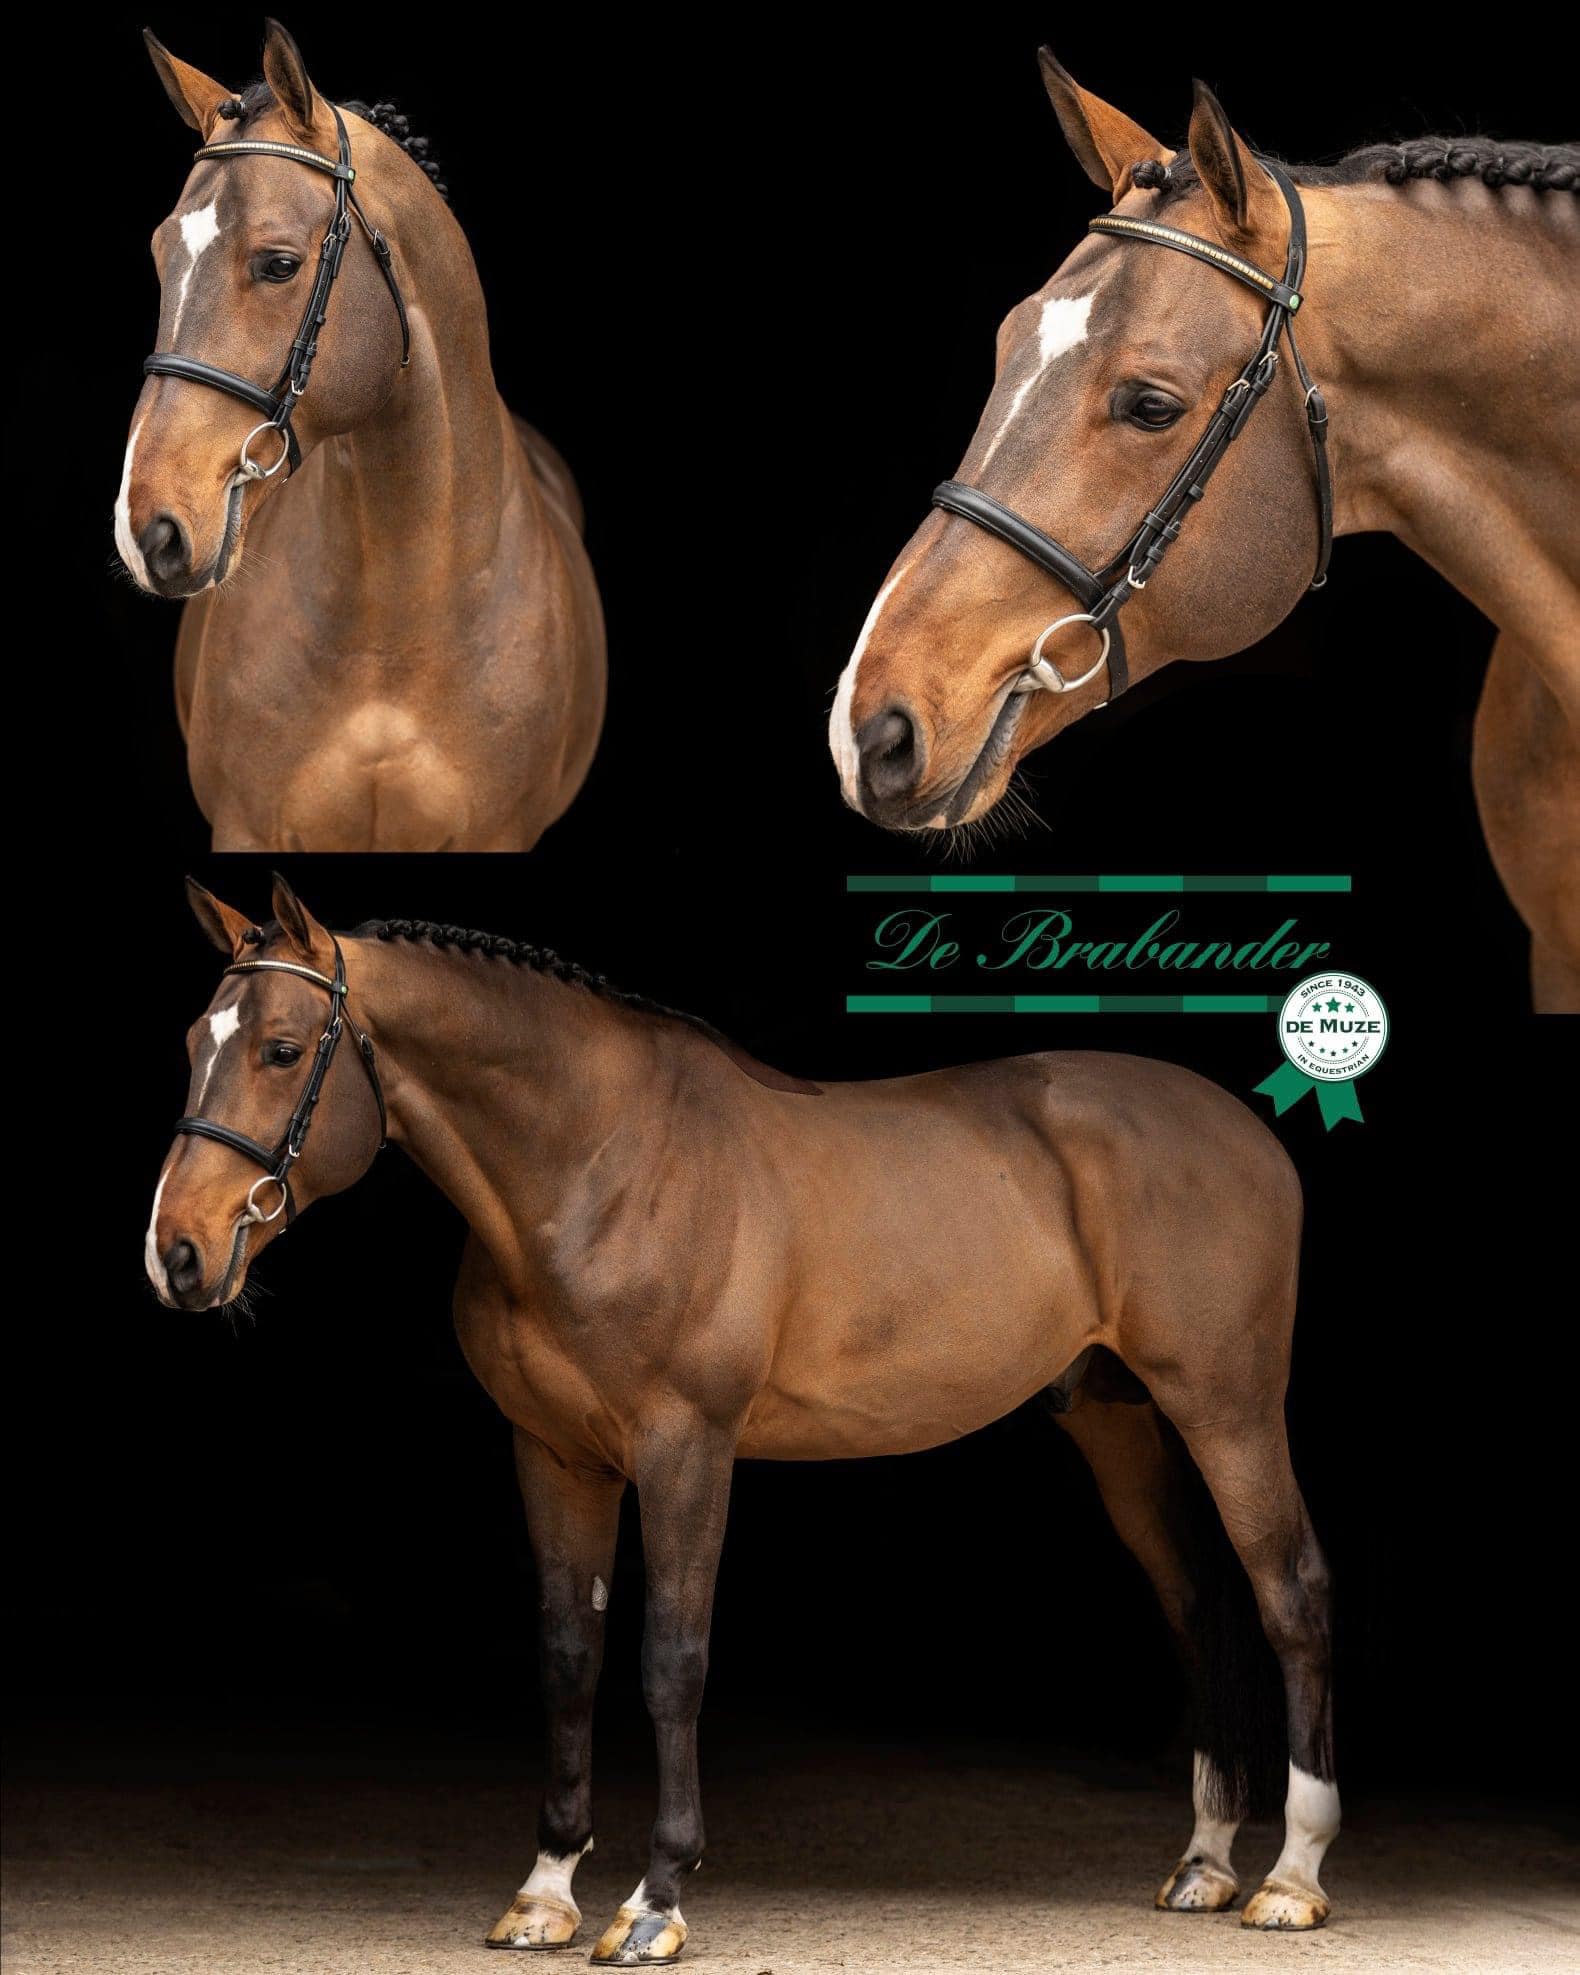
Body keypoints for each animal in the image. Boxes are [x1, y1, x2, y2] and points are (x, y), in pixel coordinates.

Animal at [145, 873, 1339, 1961]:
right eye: (198, 1040)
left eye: (283, 1049)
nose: (178, 1255)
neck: (601, 1162)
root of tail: (1247, 1130)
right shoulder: (556, 1455)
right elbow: (568, 1653)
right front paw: (545, 1888)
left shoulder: (687, 1448)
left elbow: (672, 1657)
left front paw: (654, 1897)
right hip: (1119, 1421)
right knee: (1197, 1602)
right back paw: (1204, 1863)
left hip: (1227, 1408)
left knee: (1289, 1593)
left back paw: (1291, 1875)